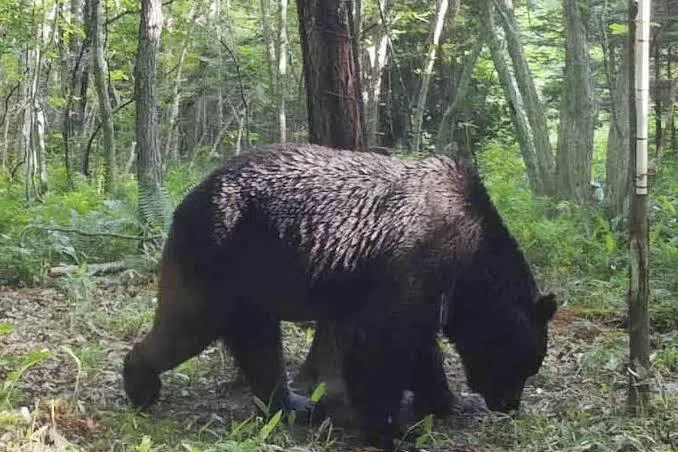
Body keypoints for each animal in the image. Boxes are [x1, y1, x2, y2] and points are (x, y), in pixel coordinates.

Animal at [122, 143, 557, 451]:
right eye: (523, 365)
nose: (509, 405)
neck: (469, 263)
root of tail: (189, 196)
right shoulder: (414, 262)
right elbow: (380, 344)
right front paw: (393, 432)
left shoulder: (427, 291)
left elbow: (421, 348)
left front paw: (449, 403)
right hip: (219, 254)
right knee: (187, 325)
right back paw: (140, 385)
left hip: (252, 283)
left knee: (258, 345)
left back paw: (294, 404)